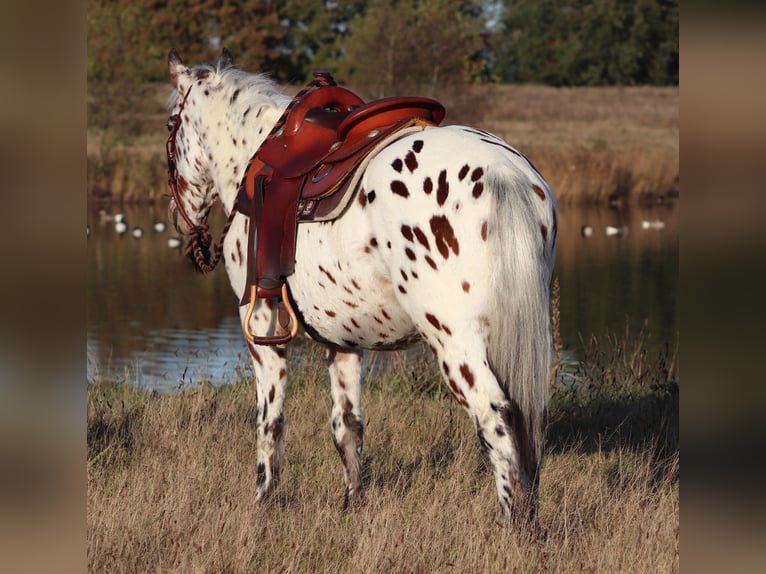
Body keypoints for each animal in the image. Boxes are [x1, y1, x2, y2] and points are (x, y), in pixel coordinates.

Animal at [165, 48, 560, 528]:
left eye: (170, 126)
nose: (179, 219)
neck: (255, 160)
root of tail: (505, 173)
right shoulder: (343, 342)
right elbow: (347, 426)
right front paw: (353, 504)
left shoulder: (262, 330)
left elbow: (270, 422)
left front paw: (264, 499)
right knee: (528, 418)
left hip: (456, 344)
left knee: (496, 417)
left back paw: (513, 526)